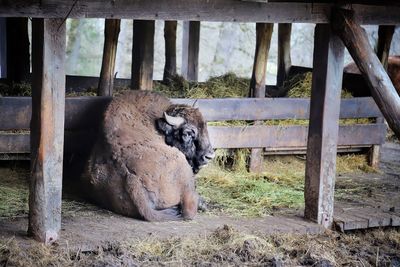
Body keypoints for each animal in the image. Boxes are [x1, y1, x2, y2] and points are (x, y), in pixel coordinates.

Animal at [83, 90, 216, 222]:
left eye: (205, 127)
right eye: (187, 133)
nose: (209, 156)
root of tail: (131, 178)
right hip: (182, 167)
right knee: (188, 211)